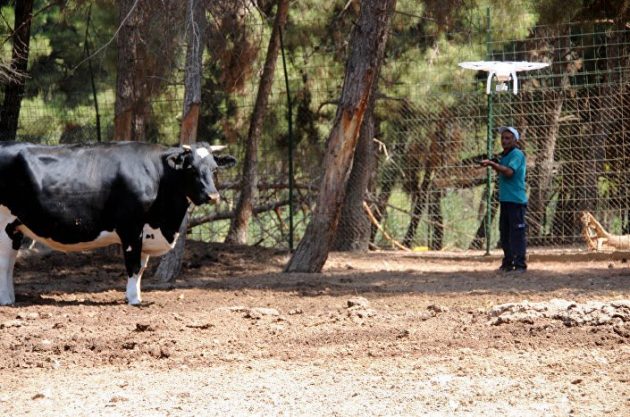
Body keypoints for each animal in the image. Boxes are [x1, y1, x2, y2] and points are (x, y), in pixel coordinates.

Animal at [0, 141, 237, 304]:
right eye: (191, 168)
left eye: (214, 168)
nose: (213, 196)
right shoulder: (131, 227)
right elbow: (133, 265)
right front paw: (134, 300)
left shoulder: (145, 232)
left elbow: (141, 268)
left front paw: (134, 295)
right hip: (3, 222)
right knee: (4, 263)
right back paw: (6, 301)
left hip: (16, 227)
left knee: (10, 262)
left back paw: (11, 297)